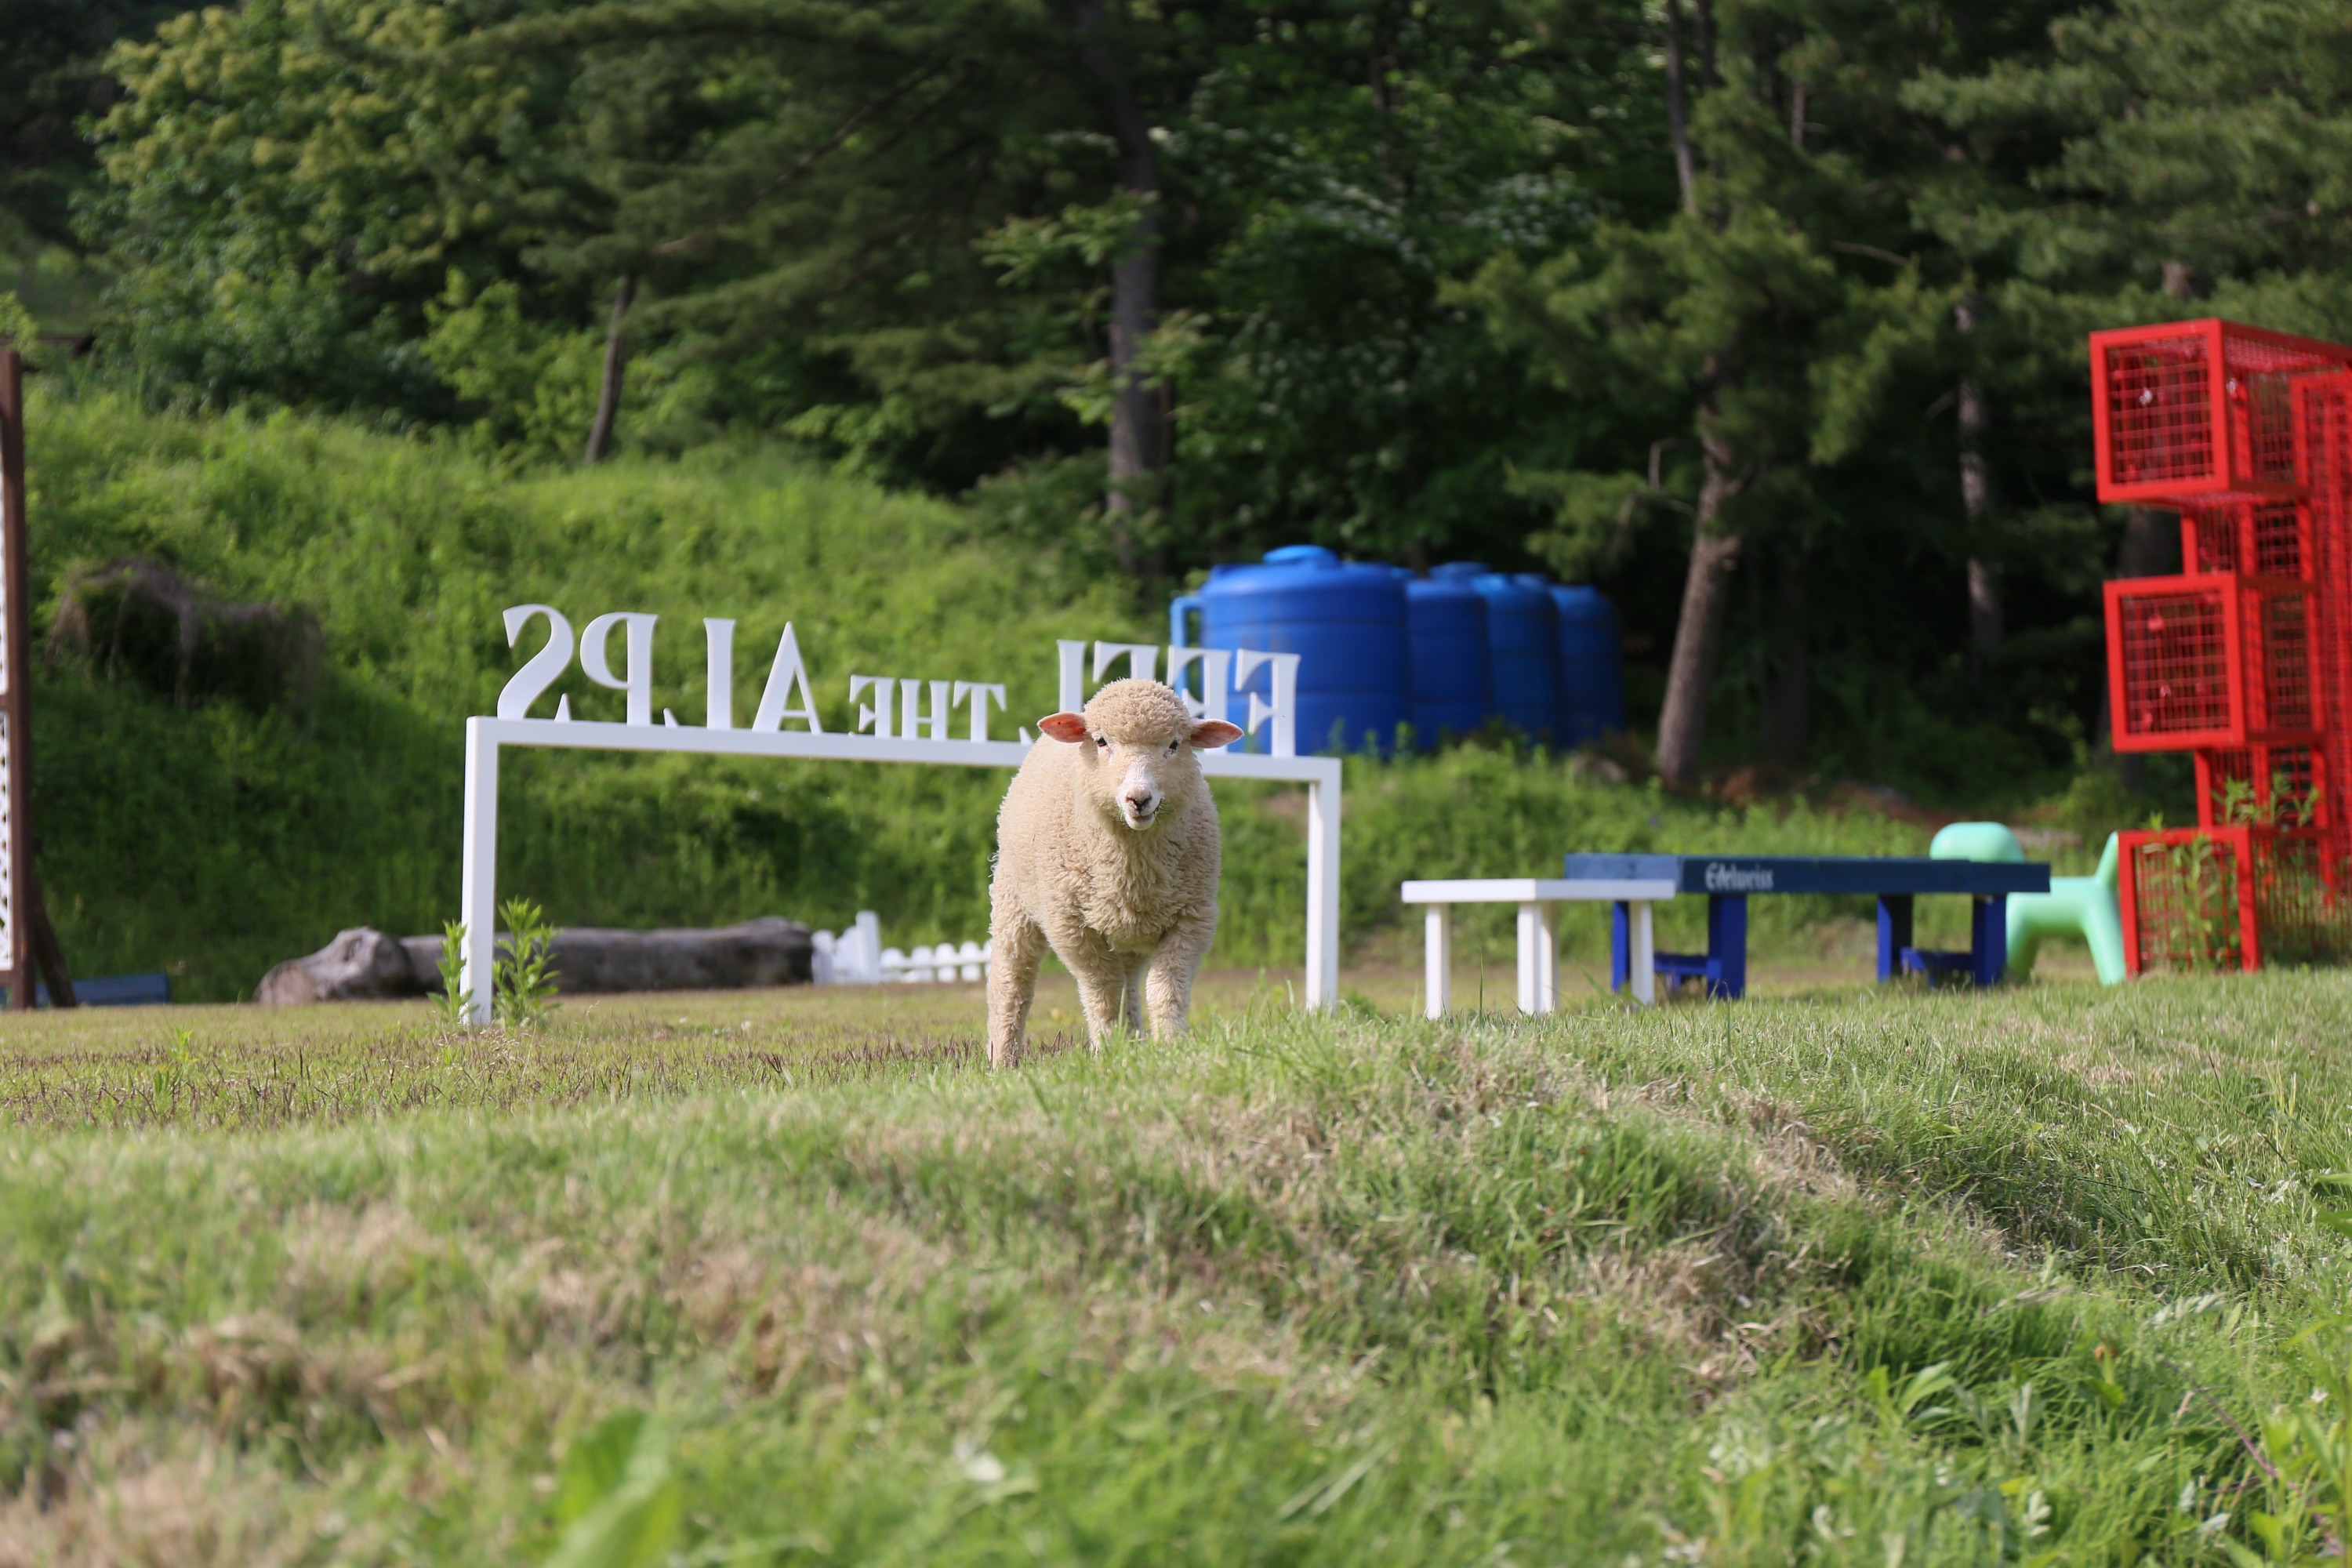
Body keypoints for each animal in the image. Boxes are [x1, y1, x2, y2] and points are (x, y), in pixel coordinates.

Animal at [983, 677, 1251, 1067]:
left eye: (1175, 744)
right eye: (1101, 741)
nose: (1139, 799)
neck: (1133, 868)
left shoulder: (1194, 919)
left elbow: (1164, 989)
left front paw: (1170, 1047)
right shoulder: (1071, 926)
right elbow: (1103, 991)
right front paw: (1107, 1050)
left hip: (1129, 936)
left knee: (1131, 985)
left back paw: (1133, 1042)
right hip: (1013, 902)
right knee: (1011, 982)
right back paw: (1002, 1061)